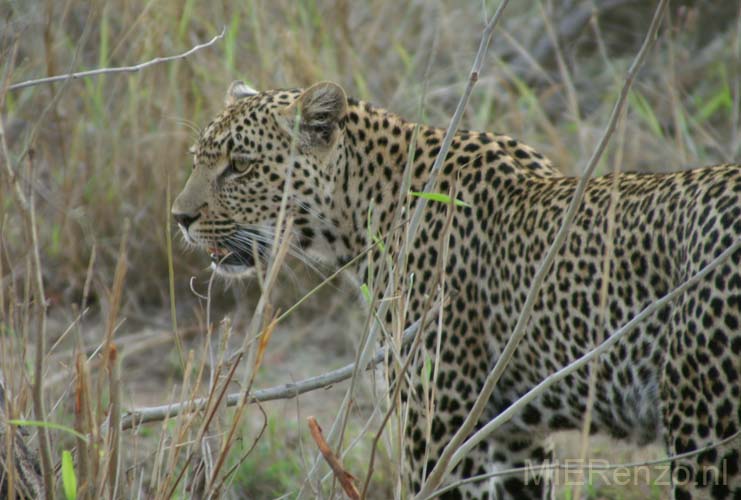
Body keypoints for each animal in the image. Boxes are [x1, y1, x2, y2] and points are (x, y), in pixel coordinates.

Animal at [173, 80, 740, 498]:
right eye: (197, 159)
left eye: (239, 166)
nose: (179, 217)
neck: (365, 208)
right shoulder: (513, 437)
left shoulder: (437, 423)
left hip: (705, 431)